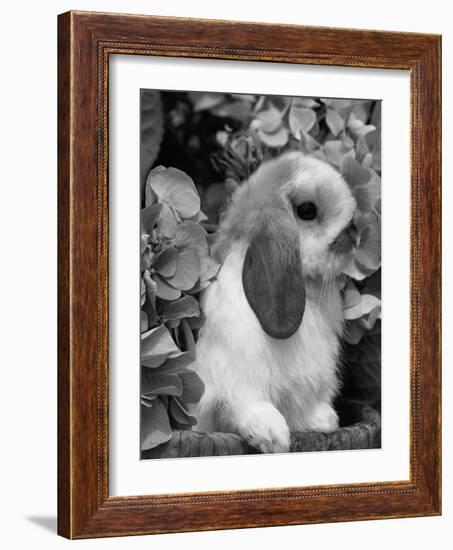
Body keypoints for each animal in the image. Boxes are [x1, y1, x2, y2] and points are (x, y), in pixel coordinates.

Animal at [191, 151, 356, 452]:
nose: (353, 237)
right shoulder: (236, 383)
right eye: (307, 211)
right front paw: (272, 435)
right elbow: (244, 407)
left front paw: (322, 420)